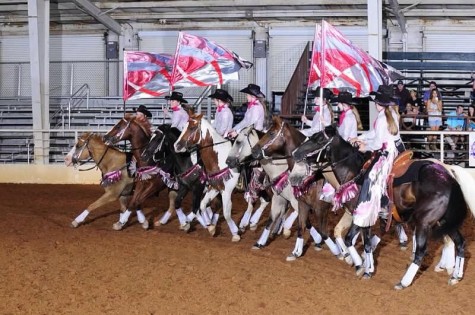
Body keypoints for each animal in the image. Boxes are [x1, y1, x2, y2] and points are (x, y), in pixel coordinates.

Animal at [175, 113, 242, 242]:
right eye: (183, 126)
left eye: (192, 128)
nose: (177, 145)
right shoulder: (215, 187)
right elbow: (202, 205)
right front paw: (210, 227)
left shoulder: (225, 190)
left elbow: (226, 212)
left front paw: (235, 234)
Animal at [249, 117, 342, 258]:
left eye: (271, 133)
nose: (254, 150)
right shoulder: (297, 202)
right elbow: (299, 225)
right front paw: (296, 252)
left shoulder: (320, 207)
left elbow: (322, 231)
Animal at [294, 124, 475, 290]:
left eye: (318, 139)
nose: (296, 153)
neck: (356, 173)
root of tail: (449, 177)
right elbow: (364, 242)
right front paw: (367, 267)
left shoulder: (361, 216)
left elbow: (353, 240)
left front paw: (361, 267)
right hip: (445, 221)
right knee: (460, 243)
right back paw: (455, 276)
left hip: (425, 222)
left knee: (421, 252)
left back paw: (404, 282)